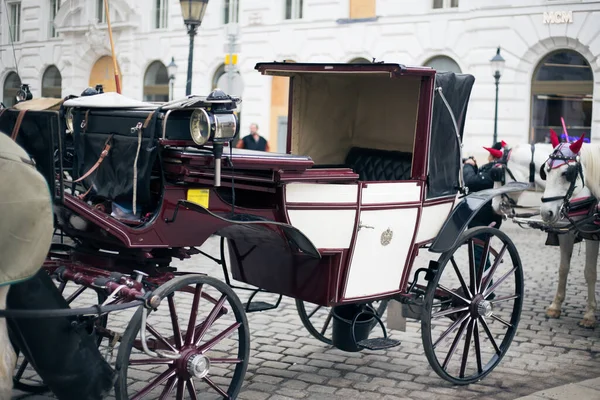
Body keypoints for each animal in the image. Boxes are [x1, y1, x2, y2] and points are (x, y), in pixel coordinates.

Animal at [488, 141, 600, 328]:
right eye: (546, 172)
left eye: (498, 175)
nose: (494, 206)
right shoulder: (566, 232)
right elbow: (563, 268)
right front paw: (556, 306)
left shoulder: (590, 233)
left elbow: (590, 272)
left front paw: (590, 314)